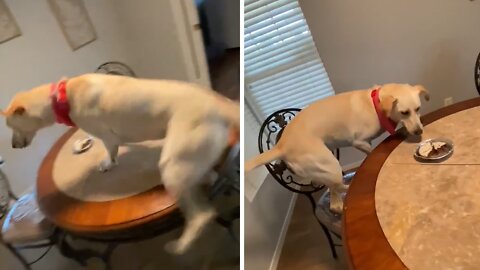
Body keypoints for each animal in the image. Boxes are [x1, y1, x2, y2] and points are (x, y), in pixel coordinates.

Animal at [0, 73, 240, 254]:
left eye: (11, 126)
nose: (13, 146)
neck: (62, 96)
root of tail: (219, 103)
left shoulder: (107, 136)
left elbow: (110, 150)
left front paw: (108, 164)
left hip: (172, 165)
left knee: (202, 216)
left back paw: (180, 246)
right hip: (187, 161)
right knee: (207, 176)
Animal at [246, 83, 430, 214]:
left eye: (418, 109)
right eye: (404, 112)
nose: (419, 131)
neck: (374, 105)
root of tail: (281, 146)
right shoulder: (359, 142)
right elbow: (370, 151)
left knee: (331, 191)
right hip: (330, 164)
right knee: (337, 188)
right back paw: (348, 190)